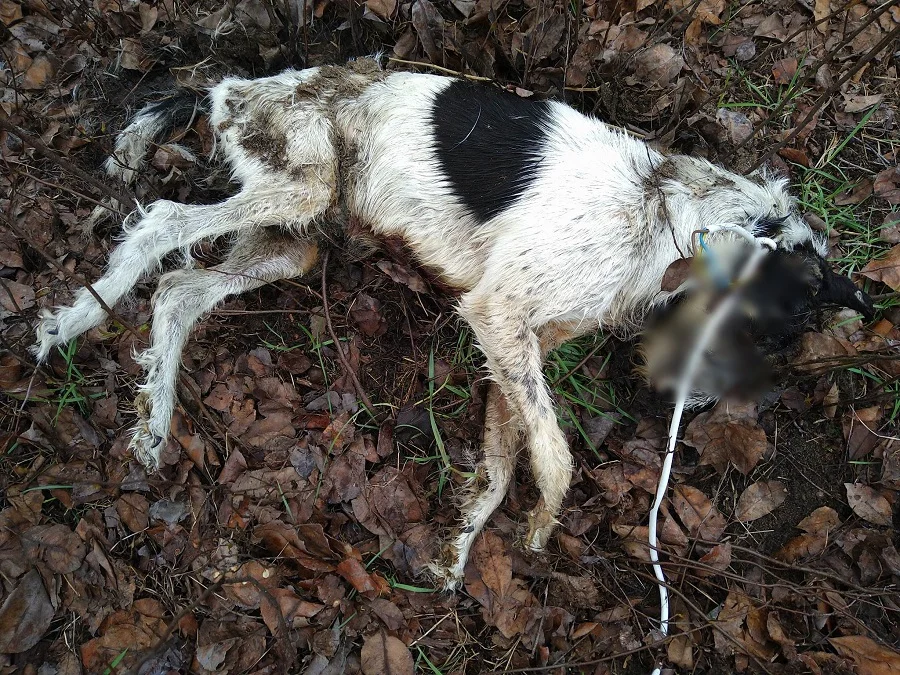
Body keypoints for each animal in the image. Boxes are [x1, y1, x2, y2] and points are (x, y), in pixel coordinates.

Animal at [33, 56, 872, 588]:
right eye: (748, 334)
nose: (684, 405)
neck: (668, 216)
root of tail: (231, 85)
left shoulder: (515, 344)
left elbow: (503, 463)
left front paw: (459, 551)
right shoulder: (500, 315)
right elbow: (557, 459)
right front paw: (540, 530)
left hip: (294, 239)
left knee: (179, 290)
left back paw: (151, 423)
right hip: (300, 190)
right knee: (161, 223)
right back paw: (68, 323)